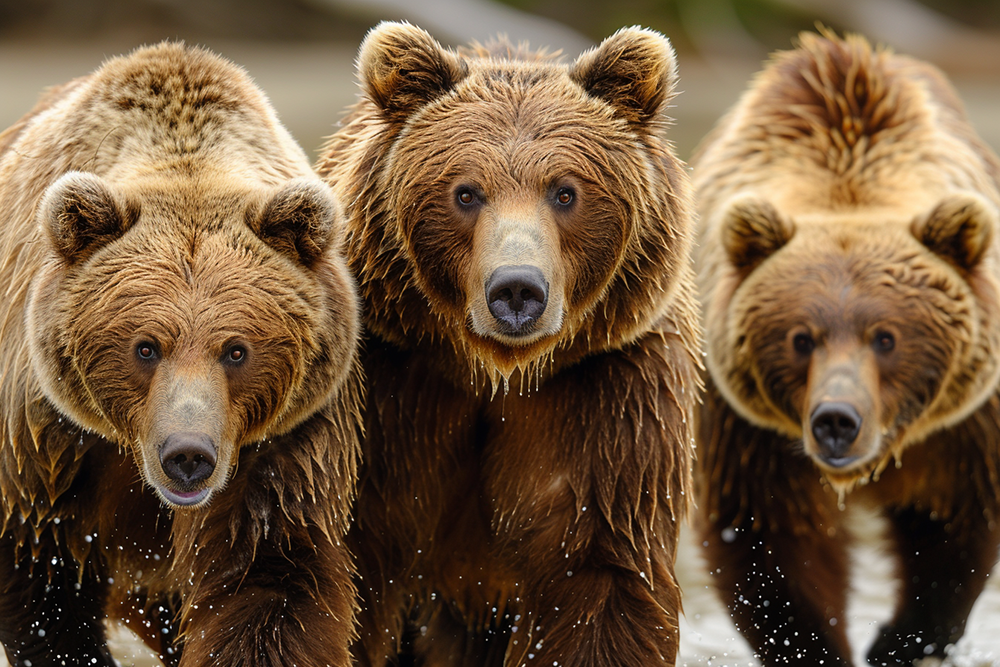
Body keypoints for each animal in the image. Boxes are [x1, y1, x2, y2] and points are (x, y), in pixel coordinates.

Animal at [0, 44, 360, 664]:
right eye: (145, 347)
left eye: (236, 350)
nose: (187, 454)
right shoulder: (44, 440)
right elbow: (44, 584)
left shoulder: (281, 444)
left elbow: (268, 583)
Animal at [316, 19, 700, 667]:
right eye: (466, 192)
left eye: (565, 192)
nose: (517, 289)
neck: (491, 370)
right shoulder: (390, 387)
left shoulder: (611, 394)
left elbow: (601, 581)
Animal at [692, 28, 1000, 664]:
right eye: (800, 338)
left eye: (886, 337)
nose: (837, 419)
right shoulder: (746, 432)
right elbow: (768, 539)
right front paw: (816, 643)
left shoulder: (964, 428)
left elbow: (955, 526)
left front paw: (899, 639)